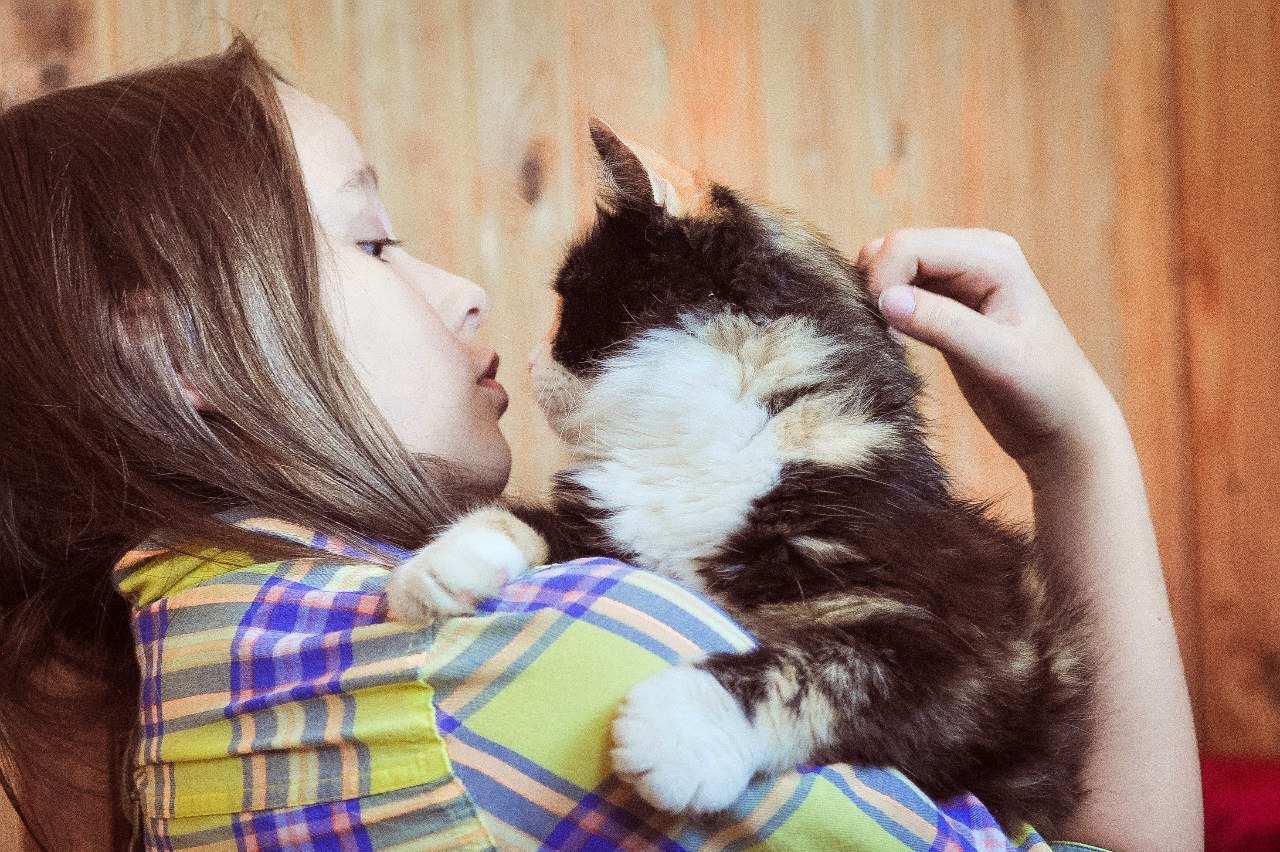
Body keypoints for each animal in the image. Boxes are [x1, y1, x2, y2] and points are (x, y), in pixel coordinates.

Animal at [384, 119, 1095, 834]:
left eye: (569, 298)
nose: (527, 362)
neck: (703, 448)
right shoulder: (619, 530)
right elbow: (539, 520)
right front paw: (445, 562)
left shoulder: (974, 651)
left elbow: (831, 669)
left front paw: (683, 726)